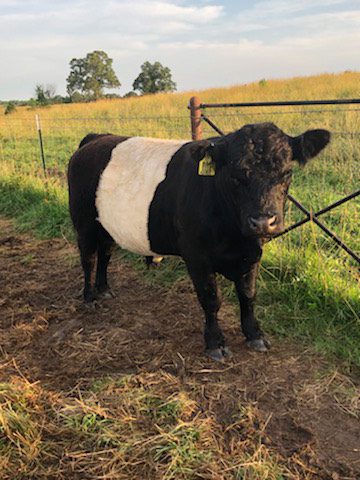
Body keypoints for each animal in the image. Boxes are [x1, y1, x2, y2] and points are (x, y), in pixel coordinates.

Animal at [67, 124, 330, 360]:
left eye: (287, 173)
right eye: (235, 176)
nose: (264, 221)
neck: (235, 237)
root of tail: (96, 137)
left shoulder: (252, 254)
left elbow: (248, 295)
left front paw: (255, 335)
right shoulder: (197, 257)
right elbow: (211, 299)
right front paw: (216, 344)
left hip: (107, 226)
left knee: (105, 254)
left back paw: (104, 290)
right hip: (84, 223)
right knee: (89, 259)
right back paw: (90, 298)